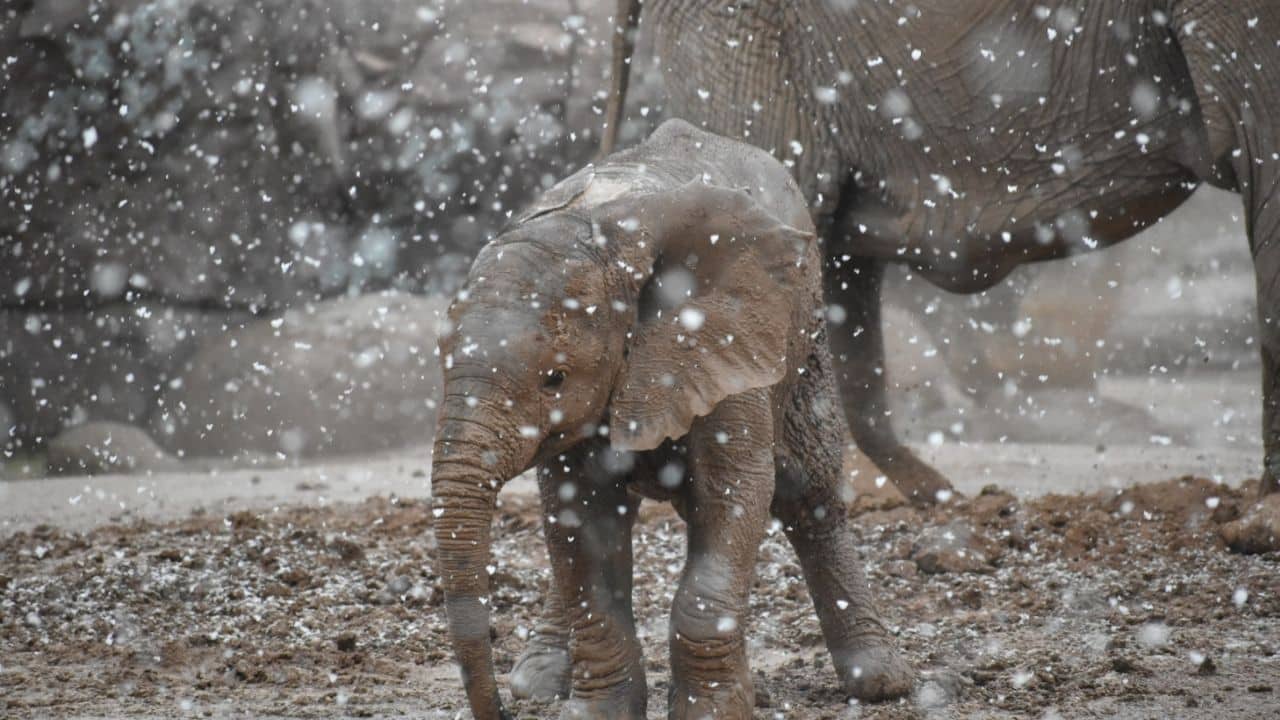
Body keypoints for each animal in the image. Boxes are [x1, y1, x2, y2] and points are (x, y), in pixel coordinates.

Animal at [431, 119, 914, 719]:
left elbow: (736, 492)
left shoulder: (724, 344)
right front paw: (598, 714)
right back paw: (537, 681)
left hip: (803, 337)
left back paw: (879, 681)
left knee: (810, 494)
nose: (497, 711)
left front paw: (717, 712)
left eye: (555, 379)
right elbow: (579, 521)